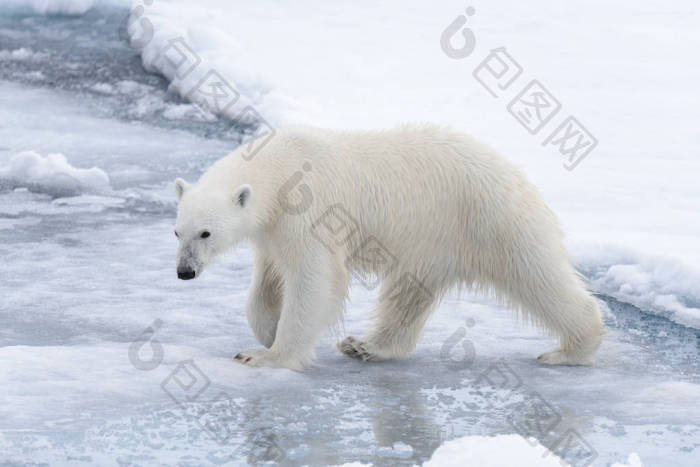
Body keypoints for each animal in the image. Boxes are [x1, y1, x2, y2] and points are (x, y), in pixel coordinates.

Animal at [173, 124, 605, 371]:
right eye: (178, 232)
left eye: (206, 233)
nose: (184, 272)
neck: (279, 165)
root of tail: (513, 171)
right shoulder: (273, 227)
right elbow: (269, 280)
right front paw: (266, 330)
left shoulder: (309, 211)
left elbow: (315, 279)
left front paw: (266, 355)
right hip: (432, 240)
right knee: (407, 293)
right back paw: (366, 346)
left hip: (488, 219)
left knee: (537, 274)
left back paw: (571, 349)